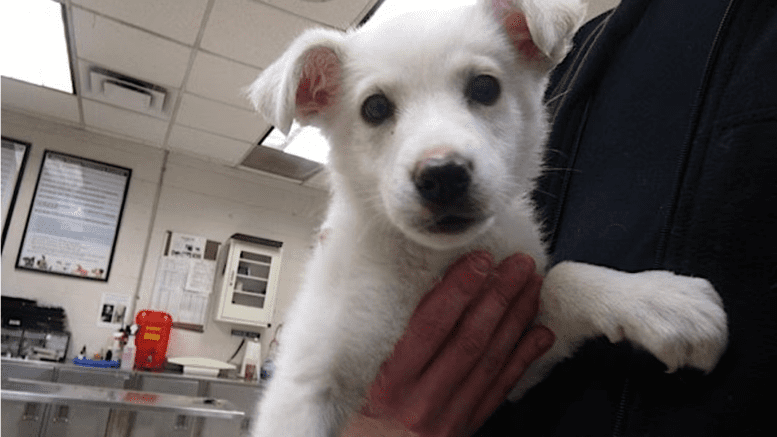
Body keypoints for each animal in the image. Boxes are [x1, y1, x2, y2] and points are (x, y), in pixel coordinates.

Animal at [247, 1, 728, 434]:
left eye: (484, 88)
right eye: (375, 108)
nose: (443, 175)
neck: (433, 262)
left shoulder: (515, 363)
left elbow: (560, 279)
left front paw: (660, 301)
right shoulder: (306, 380)